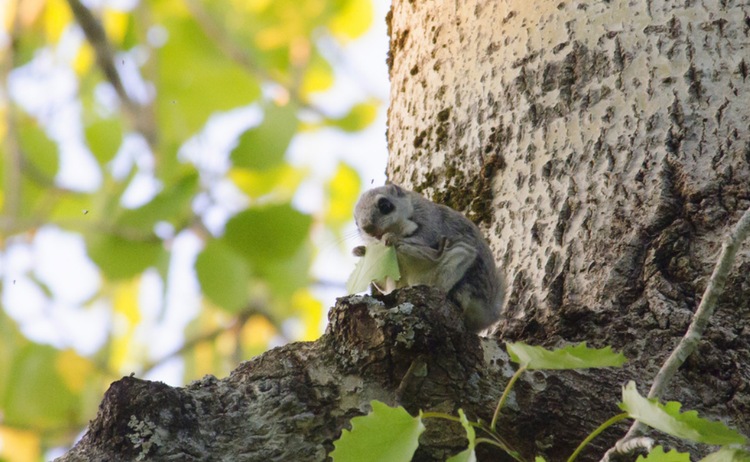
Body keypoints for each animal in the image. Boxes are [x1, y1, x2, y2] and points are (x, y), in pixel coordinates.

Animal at [356, 184, 508, 332]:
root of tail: (488, 314)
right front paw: (361, 251)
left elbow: (424, 237)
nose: (367, 228)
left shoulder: (429, 220)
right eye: (357, 223)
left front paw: (392, 239)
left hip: (461, 264)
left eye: (384, 205)